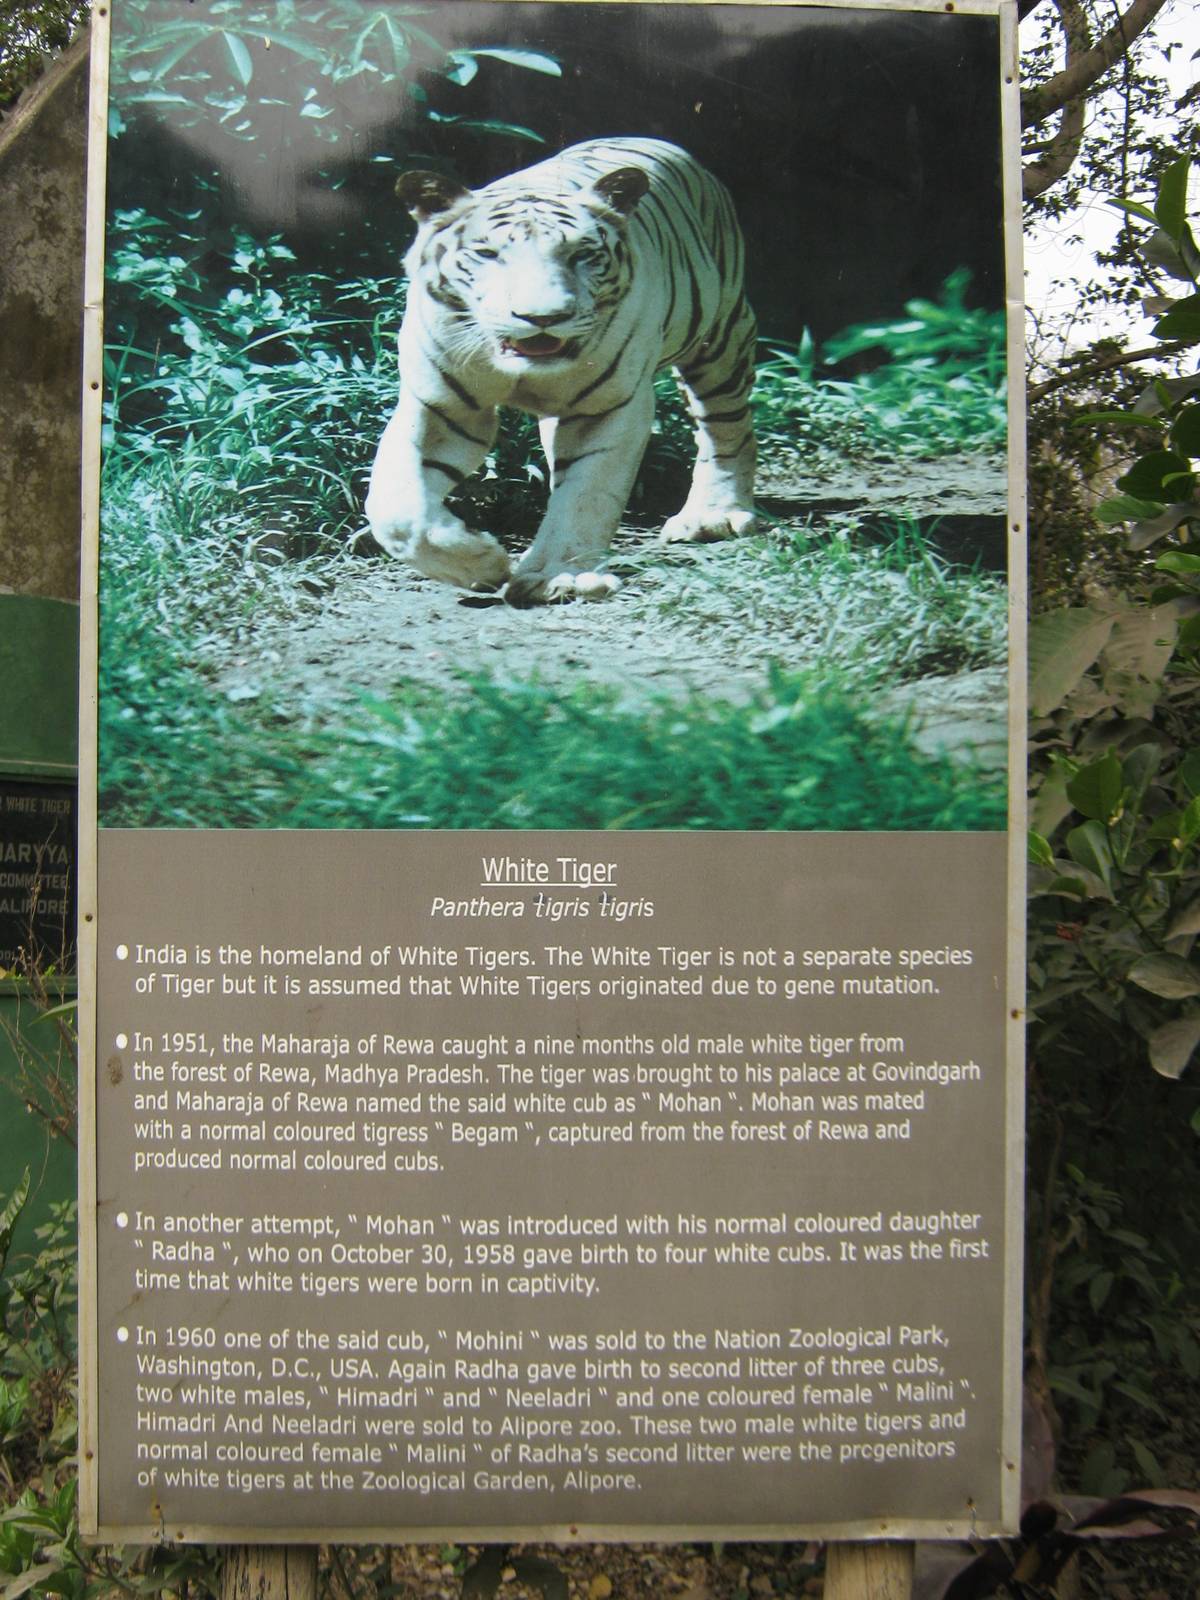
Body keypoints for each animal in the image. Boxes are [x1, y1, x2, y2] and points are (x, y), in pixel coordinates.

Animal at [365, 137, 758, 607]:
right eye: (488, 255)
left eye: (582, 255)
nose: (543, 317)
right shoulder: (442, 409)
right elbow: (397, 510)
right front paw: (480, 563)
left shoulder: (608, 408)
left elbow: (587, 493)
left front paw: (561, 577)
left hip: (720, 338)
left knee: (727, 428)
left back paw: (712, 516)